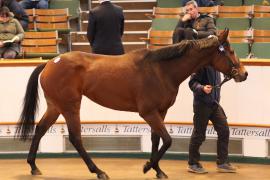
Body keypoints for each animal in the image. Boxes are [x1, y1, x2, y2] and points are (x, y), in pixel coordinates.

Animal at [16, 29, 248, 179]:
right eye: (229, 51)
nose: (243, 74)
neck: (161, 69)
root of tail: (50, 62)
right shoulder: (148, 113)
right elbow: (167, 140)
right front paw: (147, 166)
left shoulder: (160, 112)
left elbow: (157, 140)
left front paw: (158, 170)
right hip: (70, 107)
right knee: (75, 138)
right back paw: (98, 171)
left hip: (55, 107)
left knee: (40, 129)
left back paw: (33, 166)